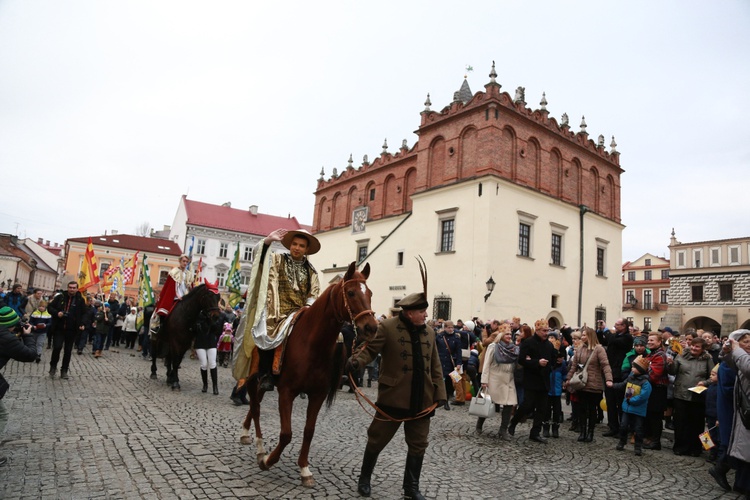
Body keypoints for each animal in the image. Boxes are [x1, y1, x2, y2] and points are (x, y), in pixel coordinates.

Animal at [241, 262, 378, 488]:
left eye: (370, 293)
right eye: (350, 292)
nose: (371, 327)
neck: (312, 344)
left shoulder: (317, 395)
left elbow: (309, 431)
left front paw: (304, 469)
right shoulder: (286, 392)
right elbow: (286, 434)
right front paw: (268, 460)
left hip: (262, 383)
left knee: (256, 405)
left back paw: (247, 435)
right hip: (253, 378)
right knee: (256, 408)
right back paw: (260, 449)